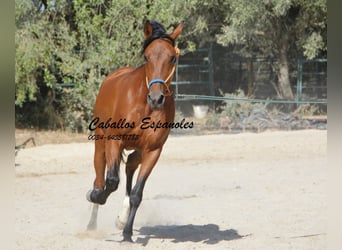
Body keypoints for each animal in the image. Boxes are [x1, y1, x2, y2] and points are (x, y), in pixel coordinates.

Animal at [85, 20, 183, 243]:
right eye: (146, 57)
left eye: (172, 57)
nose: (156, 99)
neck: (143, 106)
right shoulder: (114, 140)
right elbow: (111, 181)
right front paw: (97, 196)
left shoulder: (153, 151)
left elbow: (137, 194)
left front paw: (127, 233)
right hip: (101, 142)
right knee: (99, 176)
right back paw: (92, 220)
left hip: (137, 150)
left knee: (130, 166)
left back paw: (121, 218)